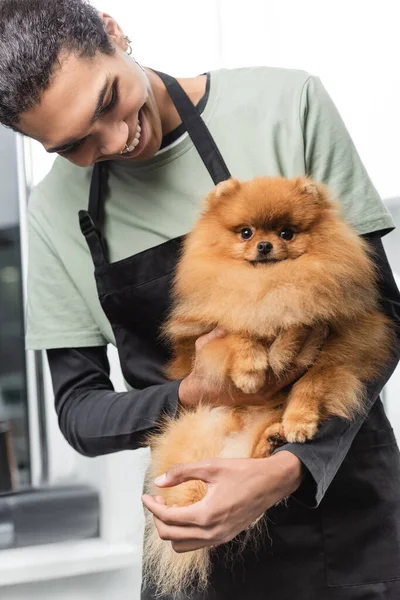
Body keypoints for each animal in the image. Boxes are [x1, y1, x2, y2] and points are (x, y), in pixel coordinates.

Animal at [143, 175, 390, 596]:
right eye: (246, 232)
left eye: (286, 232)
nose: (264, 245)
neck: (268, 283)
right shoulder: (202, 337)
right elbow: (239, 331)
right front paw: (252, 366)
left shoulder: (340, 354)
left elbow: (307, 377)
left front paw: (299, 415)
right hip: (199, 428)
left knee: (258, 455)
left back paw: (275, 436)